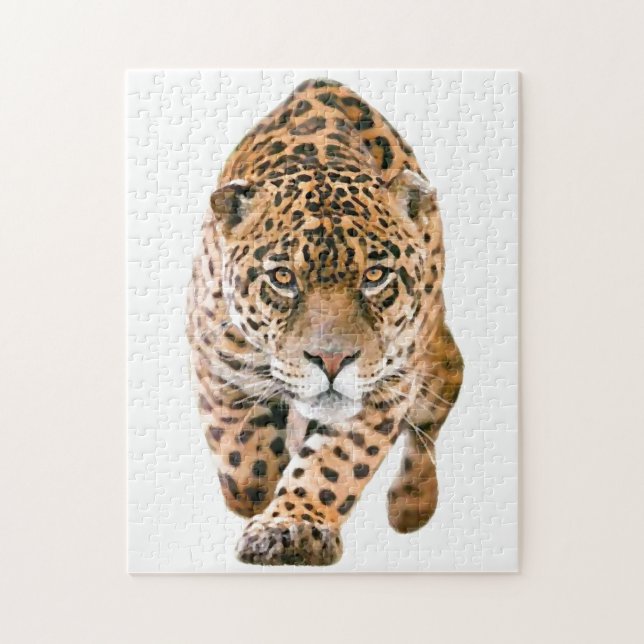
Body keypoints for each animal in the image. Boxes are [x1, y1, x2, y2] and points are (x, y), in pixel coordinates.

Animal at [187, 78, 463, 566]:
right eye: (283, 278)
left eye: (375, 276)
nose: (332, 361)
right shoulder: (219, 366)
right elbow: (245, 471)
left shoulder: (387, 387)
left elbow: (334, 464)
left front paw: (292, 527)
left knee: (439, 403)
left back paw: (411, 503)